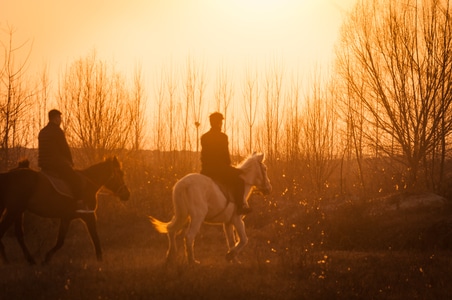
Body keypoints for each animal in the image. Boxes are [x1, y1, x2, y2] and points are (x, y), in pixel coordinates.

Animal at [0, 156, 131, 264]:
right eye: (120, 174)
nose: (127, 195)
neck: (88, 185)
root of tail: (9, 175)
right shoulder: (89, 216)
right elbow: (95, 238)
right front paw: (100, 262)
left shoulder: (66, 218)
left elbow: (60, 241)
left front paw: (46, 259)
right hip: (14, 210)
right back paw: (7, 261)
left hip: (18, 211)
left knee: (19, 235)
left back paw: (29, 261)